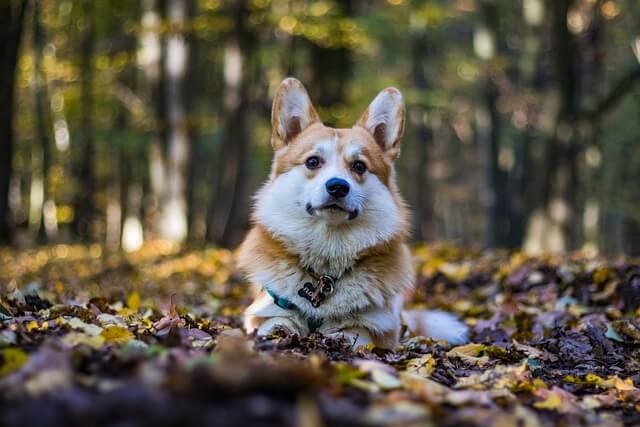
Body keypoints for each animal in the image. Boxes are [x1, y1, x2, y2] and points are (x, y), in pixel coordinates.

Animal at [238, 78, 468, 350]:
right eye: (313, 161)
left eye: (359, 166)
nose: (338, 186)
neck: (325, 269)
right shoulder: (266, 309)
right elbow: (274, 324)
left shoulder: (380, 326)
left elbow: (354, 334)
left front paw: (337, 338)